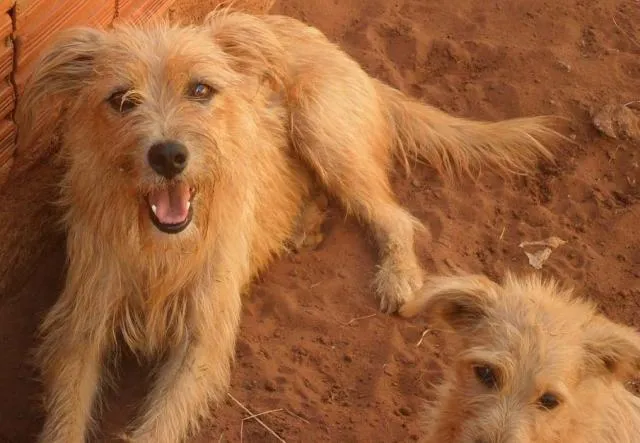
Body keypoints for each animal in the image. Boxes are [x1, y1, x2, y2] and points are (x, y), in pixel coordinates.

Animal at [16, 7, 564, 443]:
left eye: (200, 89)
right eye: (121, 100)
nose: (168, 155)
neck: (161, 248)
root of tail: (335, 50)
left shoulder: (203, 340)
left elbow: (159, 426)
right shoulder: (81, 324)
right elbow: (66, 415)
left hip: (323, 127)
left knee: (395, 215)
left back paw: (398, 275)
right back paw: (302, 224)